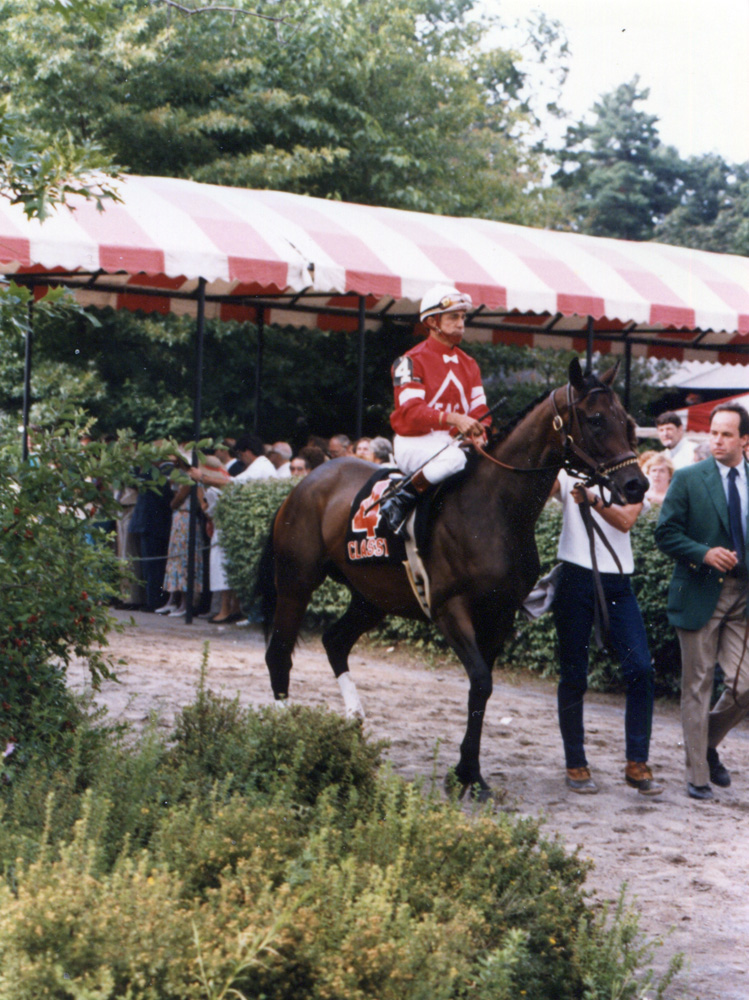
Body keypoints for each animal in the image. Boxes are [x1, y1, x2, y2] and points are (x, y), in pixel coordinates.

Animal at [254, 360, 644, 796]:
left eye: (627, 421)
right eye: (595, 420)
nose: (636, 485)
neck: (494, 509)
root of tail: (307, 482)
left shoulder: (499, 615)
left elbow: (482, 689)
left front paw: (468, 772)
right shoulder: (450, 609)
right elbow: (481, 682)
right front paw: (466, 773)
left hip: (371, 598)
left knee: (334, 642)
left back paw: (353, 720)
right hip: (295, 583)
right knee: (279, 653)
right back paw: (283, 737)